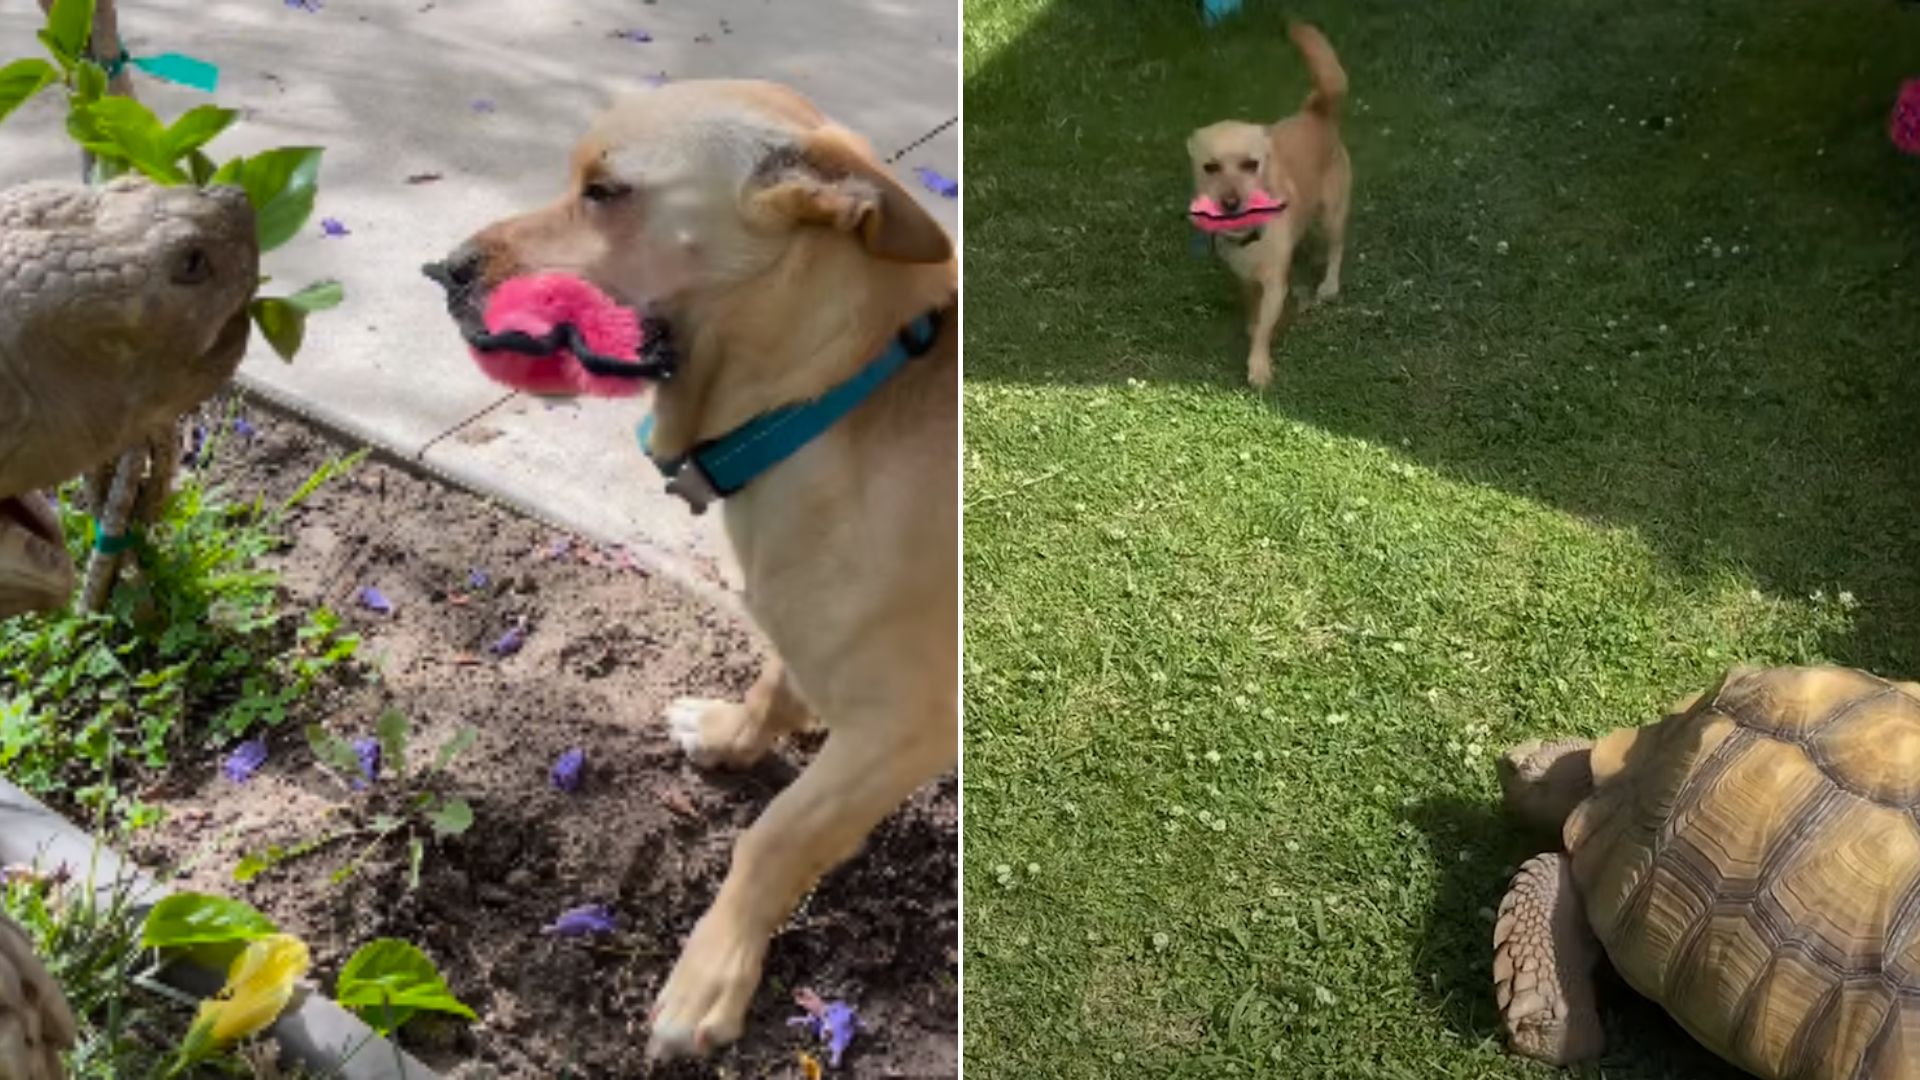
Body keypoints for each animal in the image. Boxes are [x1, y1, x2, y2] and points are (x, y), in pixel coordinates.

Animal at [426, 84, 952, 1060]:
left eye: (604, 191)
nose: (443, 269)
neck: (829, 401)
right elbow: (775, 682)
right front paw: (734, 734)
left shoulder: (902, 730)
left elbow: (773, 838)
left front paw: (711, 975)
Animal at [1182, 21, 1351, 386]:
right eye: (1210, 167)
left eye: (1251, 164)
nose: (1230, 201)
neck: (1248, 236)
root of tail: (1318, 109)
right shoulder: (1245, 280)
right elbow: (1253, 311)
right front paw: (1251, 327)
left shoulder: (1275, 285)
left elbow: (1263, 327)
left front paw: (1258, 366)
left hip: (1331, 216)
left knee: (1336, 247)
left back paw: (1329, 284)